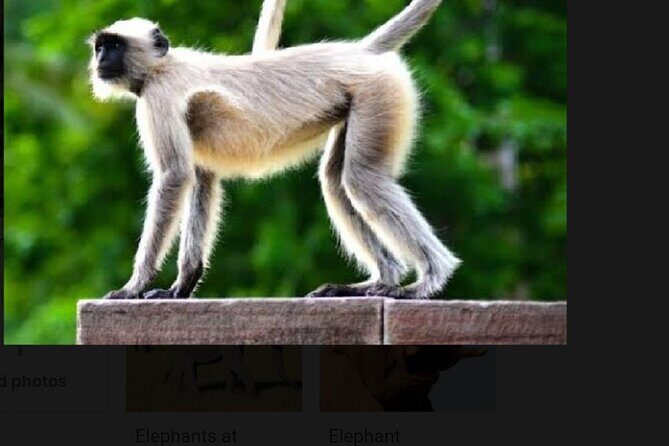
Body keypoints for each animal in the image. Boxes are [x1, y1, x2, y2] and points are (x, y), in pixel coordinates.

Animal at [89, 0, 461, 301]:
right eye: (100, 47)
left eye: (115, 46)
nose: (101, 60)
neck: (163, 65)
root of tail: (359, 52)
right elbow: (203, 178)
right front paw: (182, 286)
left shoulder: (159, 95)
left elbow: (175, 176)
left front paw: (134, 286)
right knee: (336, 181)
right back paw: (380, 282)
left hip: (378, 94)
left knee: (362, 179)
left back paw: (428, 281)